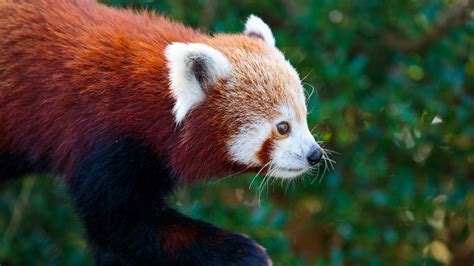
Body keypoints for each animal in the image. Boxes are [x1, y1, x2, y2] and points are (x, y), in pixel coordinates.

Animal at [0, 0, 322, 264]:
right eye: (282, 127)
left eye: (304, 117)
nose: (315, 154)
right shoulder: (105, 137)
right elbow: (118, 222)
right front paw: (244, 252)